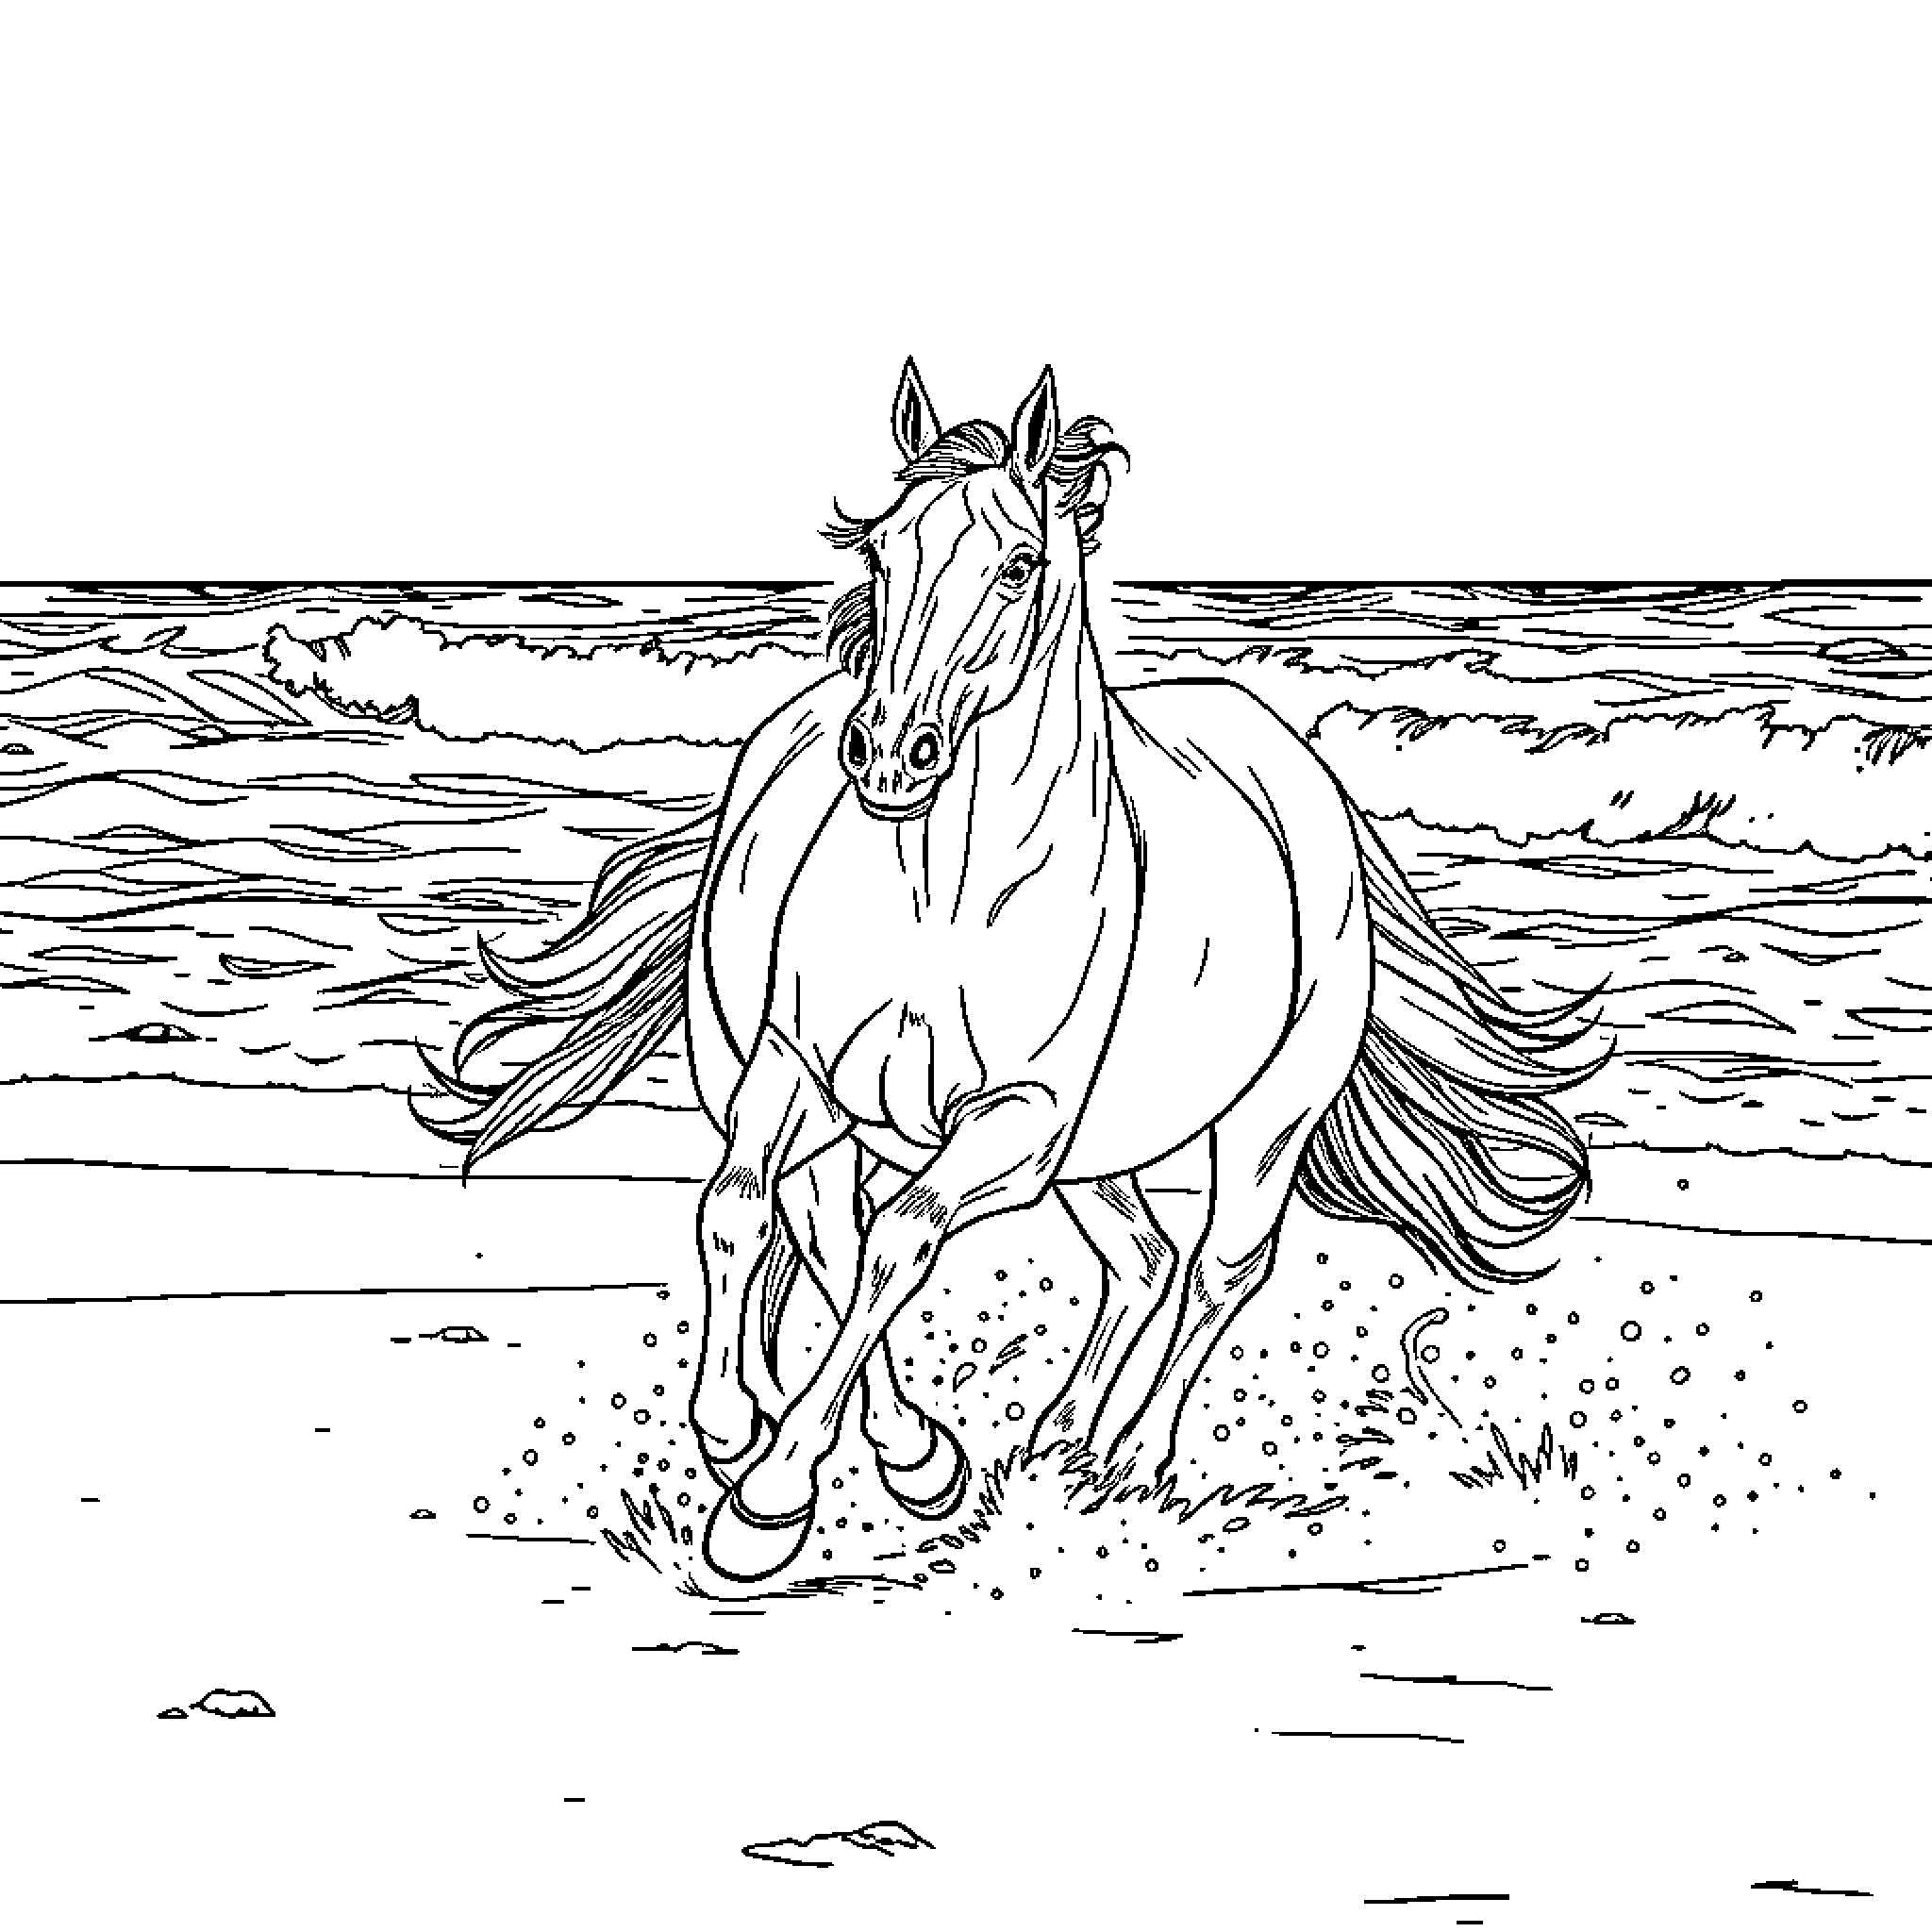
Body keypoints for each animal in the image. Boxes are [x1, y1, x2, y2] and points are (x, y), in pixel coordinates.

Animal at [420, 359, 1603, 1584]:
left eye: (1020, 562)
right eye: (879, 550)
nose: (889, 753)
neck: (945, 901)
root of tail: (1300, 769)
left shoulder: (1018, 1122)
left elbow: (897, 1240)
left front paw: (773, 1498)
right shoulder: (798, 1076)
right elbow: (742, 1212)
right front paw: (775, 1440)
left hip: (1260, 1117)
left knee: (1217, 1265)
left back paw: (1125, 1456)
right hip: (1048, 1142)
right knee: (1113, 1254)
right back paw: (1048, 1443)